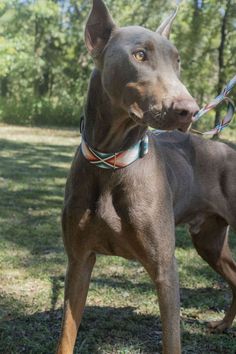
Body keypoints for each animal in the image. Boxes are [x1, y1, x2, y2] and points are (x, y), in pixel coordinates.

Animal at [56, 1, 236, 352]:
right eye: (139, 55)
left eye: (177, 60)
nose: (188, 110)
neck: (112, 161)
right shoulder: (79, 261)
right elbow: (66, 335)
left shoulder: (165, 268)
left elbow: (172, 340)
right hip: (208, 241)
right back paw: (223, 324)